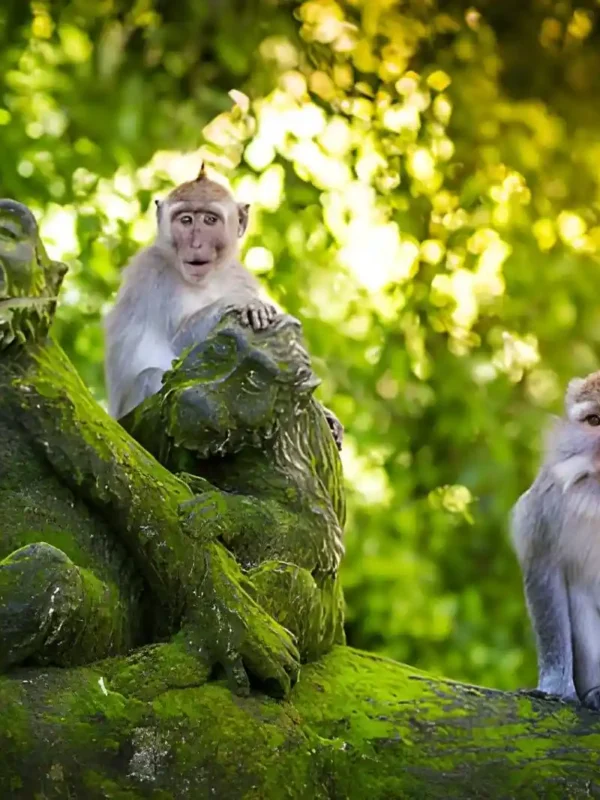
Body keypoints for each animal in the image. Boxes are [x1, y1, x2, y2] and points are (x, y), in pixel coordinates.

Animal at [104, 164, 344, 448]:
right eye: (186, 220)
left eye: (209, 220)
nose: (195, 243)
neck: (205, 279)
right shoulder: (152, 273)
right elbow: (180, 346)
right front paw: (244, 303)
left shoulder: (239, 276)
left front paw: (326, 413)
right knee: (150, 375)